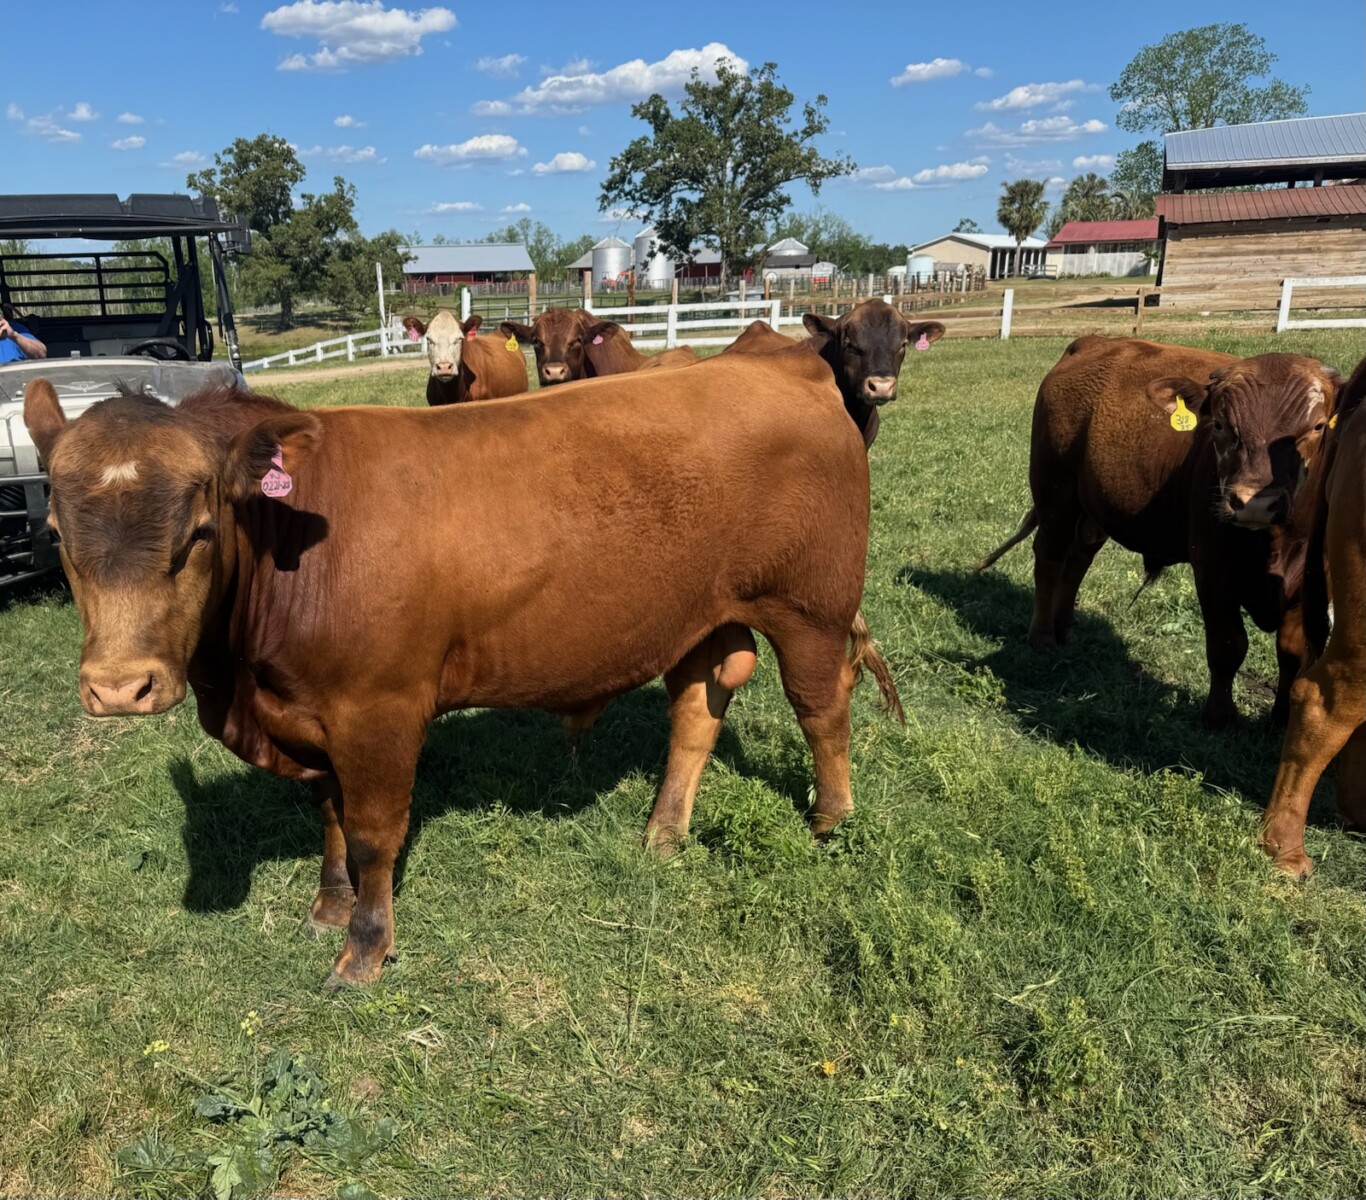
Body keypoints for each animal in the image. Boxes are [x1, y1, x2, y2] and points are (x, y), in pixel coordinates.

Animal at [22, 354, 902, 989]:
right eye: (57, 532)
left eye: (201, 530)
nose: (118, 687)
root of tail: (776, 360)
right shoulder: (312, 711)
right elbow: (331, 814)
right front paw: (327, 906)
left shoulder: (379, 707)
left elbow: (373, 832)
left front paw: (363, 951)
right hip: (700, 615)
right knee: (697, 708)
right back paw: (662, 834)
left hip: (811, 605)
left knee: (822, 705)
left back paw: (832, 819)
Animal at [977, 336, 1340, 729]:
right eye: (1220, 425)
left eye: (1318, 427)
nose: (1255, 503)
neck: (1271, 545)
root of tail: (1092, 341)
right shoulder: (1211, 570)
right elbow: (1228, 645)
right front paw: (1220, 717)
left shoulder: (1308, 581)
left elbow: (1293, 652)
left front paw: (1283, 718)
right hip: (1056, 493)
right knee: (1050, 560)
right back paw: (1043, 636)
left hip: (1092, 511)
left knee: (1078, 561)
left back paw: (1064, 628)